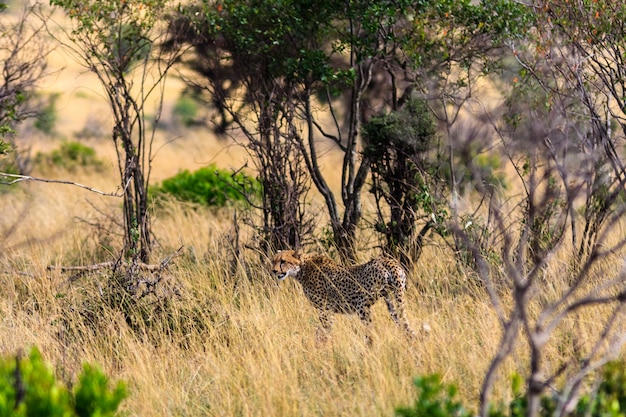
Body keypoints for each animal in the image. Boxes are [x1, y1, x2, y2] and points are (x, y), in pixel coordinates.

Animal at [270, 249, 412, 342]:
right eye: (273, 261)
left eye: (283, 261)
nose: (274, 271)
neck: (302, 269)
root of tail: (387, 260)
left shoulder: (325, 310)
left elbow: (322, 331)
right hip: (391, 300)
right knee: (405, 326)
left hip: (362, 305)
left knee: (370, 330)